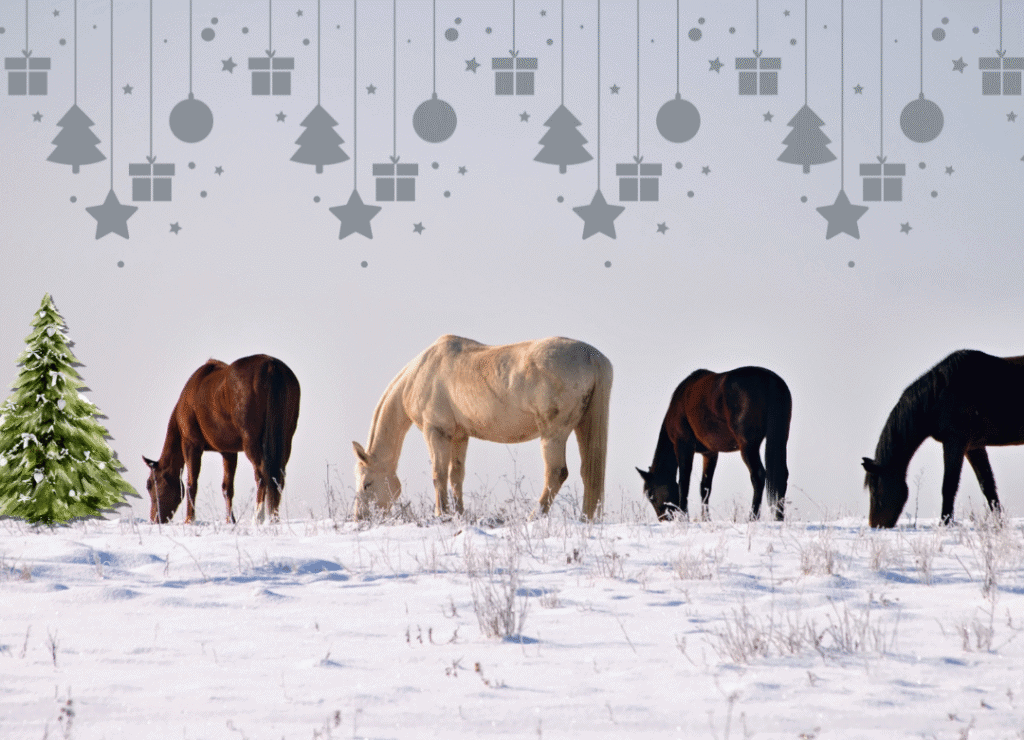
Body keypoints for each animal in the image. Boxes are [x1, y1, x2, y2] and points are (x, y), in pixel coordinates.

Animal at [143, 355, 300, 524]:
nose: (155, 519)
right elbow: (227, 487)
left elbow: (192, 483)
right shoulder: (228, 452)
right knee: (278, 476)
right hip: (285, 440)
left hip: (252, 443)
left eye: (150, 484)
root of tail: (271, 366)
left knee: (262, 474)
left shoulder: (191, 445)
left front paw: (189, 520)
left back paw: (258, 517)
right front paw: (230, 520)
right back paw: (274, 518)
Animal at [352, 335, 612, 521]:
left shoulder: (436, 432)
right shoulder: (459, 436)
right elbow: (456, 476)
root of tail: (593, 356)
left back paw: (533, 516)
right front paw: (459, 514)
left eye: (366, 484)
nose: (360, 518)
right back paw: (585, 519)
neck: (419, 374)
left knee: (557, 473)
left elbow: (439, 474)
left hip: (553, 434)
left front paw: (441, 514)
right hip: (583, 427)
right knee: (589, 474)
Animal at [637, 366, 791, 522]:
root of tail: (770, 379)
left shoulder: (683, 446)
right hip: (780, 439)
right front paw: (705, 519)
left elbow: (684, 482)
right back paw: (779, 517)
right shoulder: (710, 453)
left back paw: (753, 518)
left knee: (758, 475)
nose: (664, 520)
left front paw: (685, 516)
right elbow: (705, 487)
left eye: (651, 496)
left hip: (748, 446)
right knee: (782, 475)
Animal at [862, 350, 1024, 528]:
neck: (939, 395)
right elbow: (988, 486)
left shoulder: (954, 442)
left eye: (875, 489)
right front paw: (1000, 523)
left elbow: (949, 486)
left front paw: (945, 523)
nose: (874, 525)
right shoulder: (974, 447)